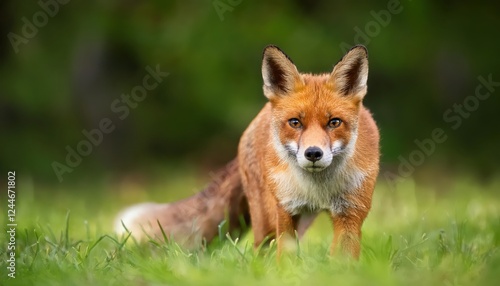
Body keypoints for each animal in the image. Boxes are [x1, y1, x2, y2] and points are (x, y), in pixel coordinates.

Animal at [115, 45, 380, 260]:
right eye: (295, 123)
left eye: (334, 123)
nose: (313, 153)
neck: (318, 189)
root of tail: (257, 118)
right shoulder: (286, 212)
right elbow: (286, 262)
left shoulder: (350, 215)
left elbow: (343, 262)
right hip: (267, 221)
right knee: (261, 253)